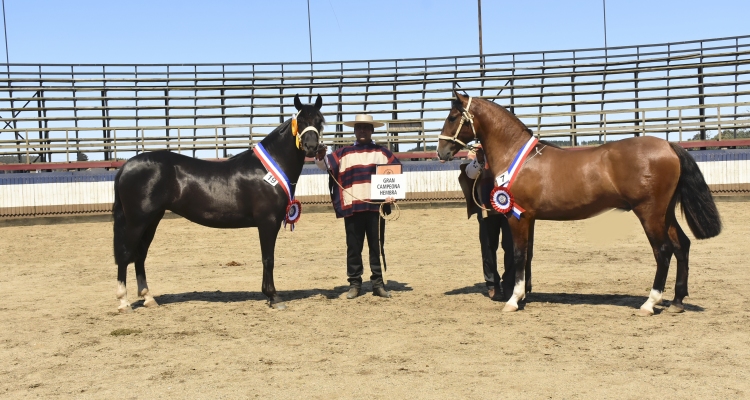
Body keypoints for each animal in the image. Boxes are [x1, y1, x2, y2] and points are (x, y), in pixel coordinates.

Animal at [113, 94, 324, 312]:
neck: (267, 170)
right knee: (125, 254)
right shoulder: (268, 221)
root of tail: (126, 166)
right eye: (301, 121)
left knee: (140, 255)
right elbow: (268, 258)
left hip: (152, 220)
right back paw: (124, 302)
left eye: (320, 121)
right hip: (137, 221)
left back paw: (148, 298)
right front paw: (273, 296)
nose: (311, 147)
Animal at [440, 91, 724, 316]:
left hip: (650, 214)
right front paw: (525, 294)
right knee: (682, 245)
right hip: (665, 214)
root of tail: (668, 145)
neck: (516, 155)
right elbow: (528, 255)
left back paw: (649, 303)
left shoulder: (517, 217)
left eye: (452, 117)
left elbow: (519, 254)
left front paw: (513, 300)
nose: (441, 151)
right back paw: (677, 301)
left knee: (663, 251)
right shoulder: (529, 217)